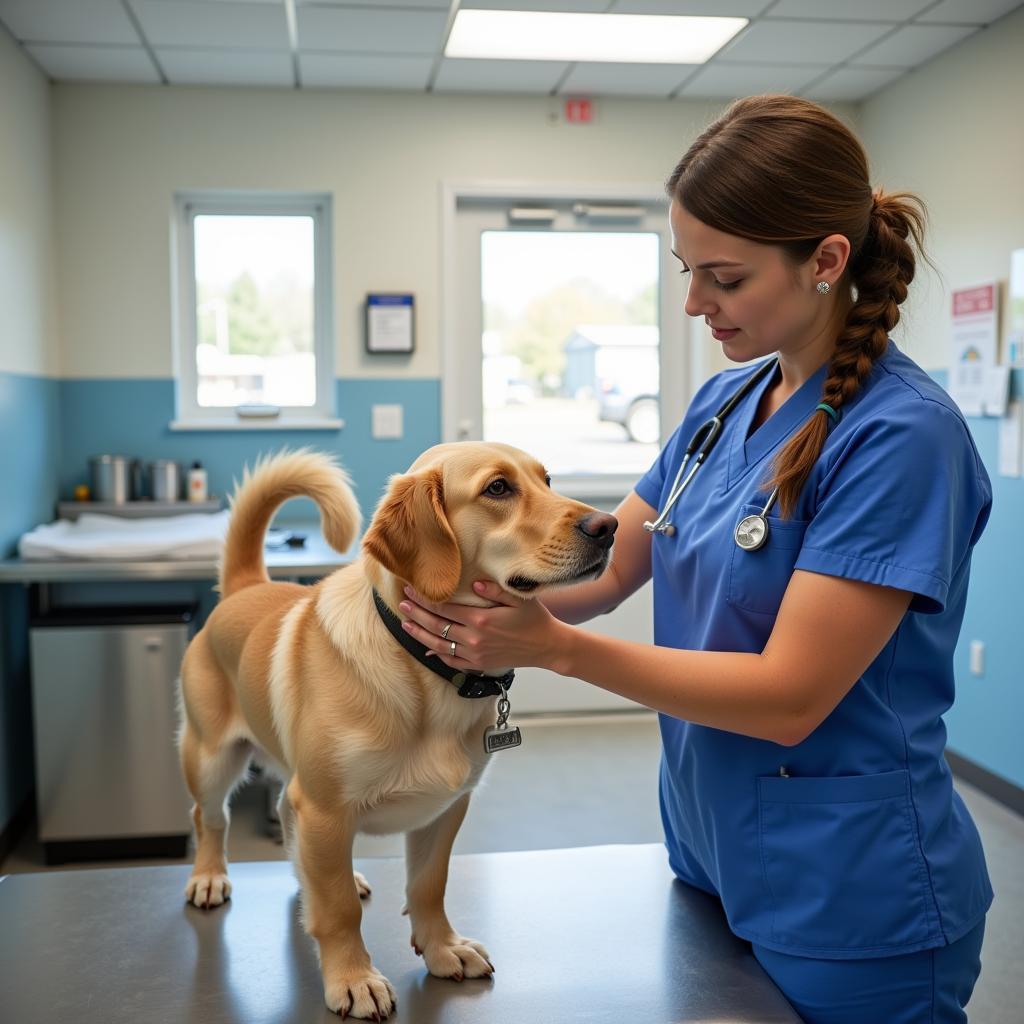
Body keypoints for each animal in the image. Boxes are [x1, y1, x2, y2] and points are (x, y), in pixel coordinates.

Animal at [178, 444, 614, 1019]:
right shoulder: (325, 809)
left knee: (285, 821)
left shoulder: (445, 809)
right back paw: (209, 875)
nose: (608, 526)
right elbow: (339, 910)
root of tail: (247, 586)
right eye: (498, 488)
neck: (428, 672)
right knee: (210, 818)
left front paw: (442, 948)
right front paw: (353, 977)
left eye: (547, 480)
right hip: (212, 758)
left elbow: (429, 886)